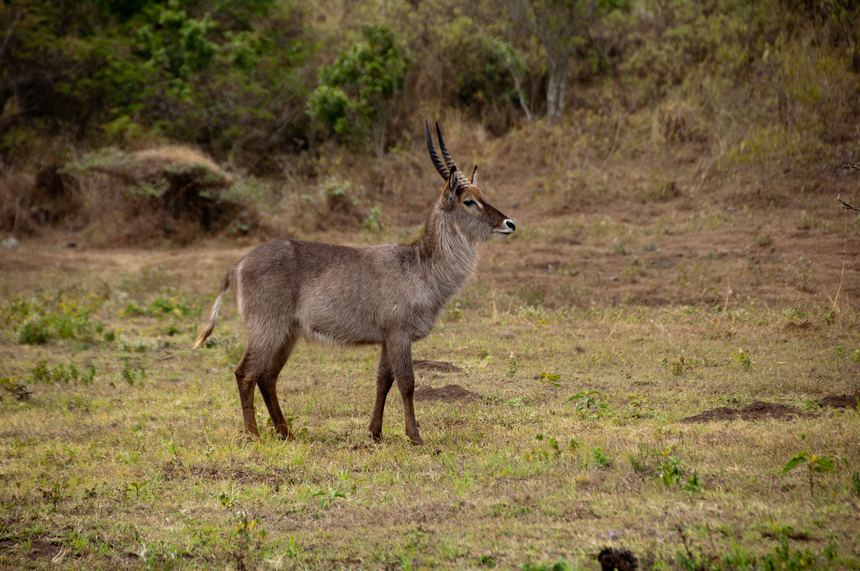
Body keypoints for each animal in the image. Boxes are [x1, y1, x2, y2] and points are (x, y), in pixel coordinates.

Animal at [193, 122, 516, 446]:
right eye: (469, 201)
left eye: (482, 194)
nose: (509, 223)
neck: (420, 266)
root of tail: (237, 265)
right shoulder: (399, 334)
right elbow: (407, 383)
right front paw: (415, 436)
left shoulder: (387, 337)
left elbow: (383, 381)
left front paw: (375, 432)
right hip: (266, 327)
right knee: (245, 373)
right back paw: (253, 434)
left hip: (287, 333)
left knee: (267, 376)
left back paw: (285, 432)